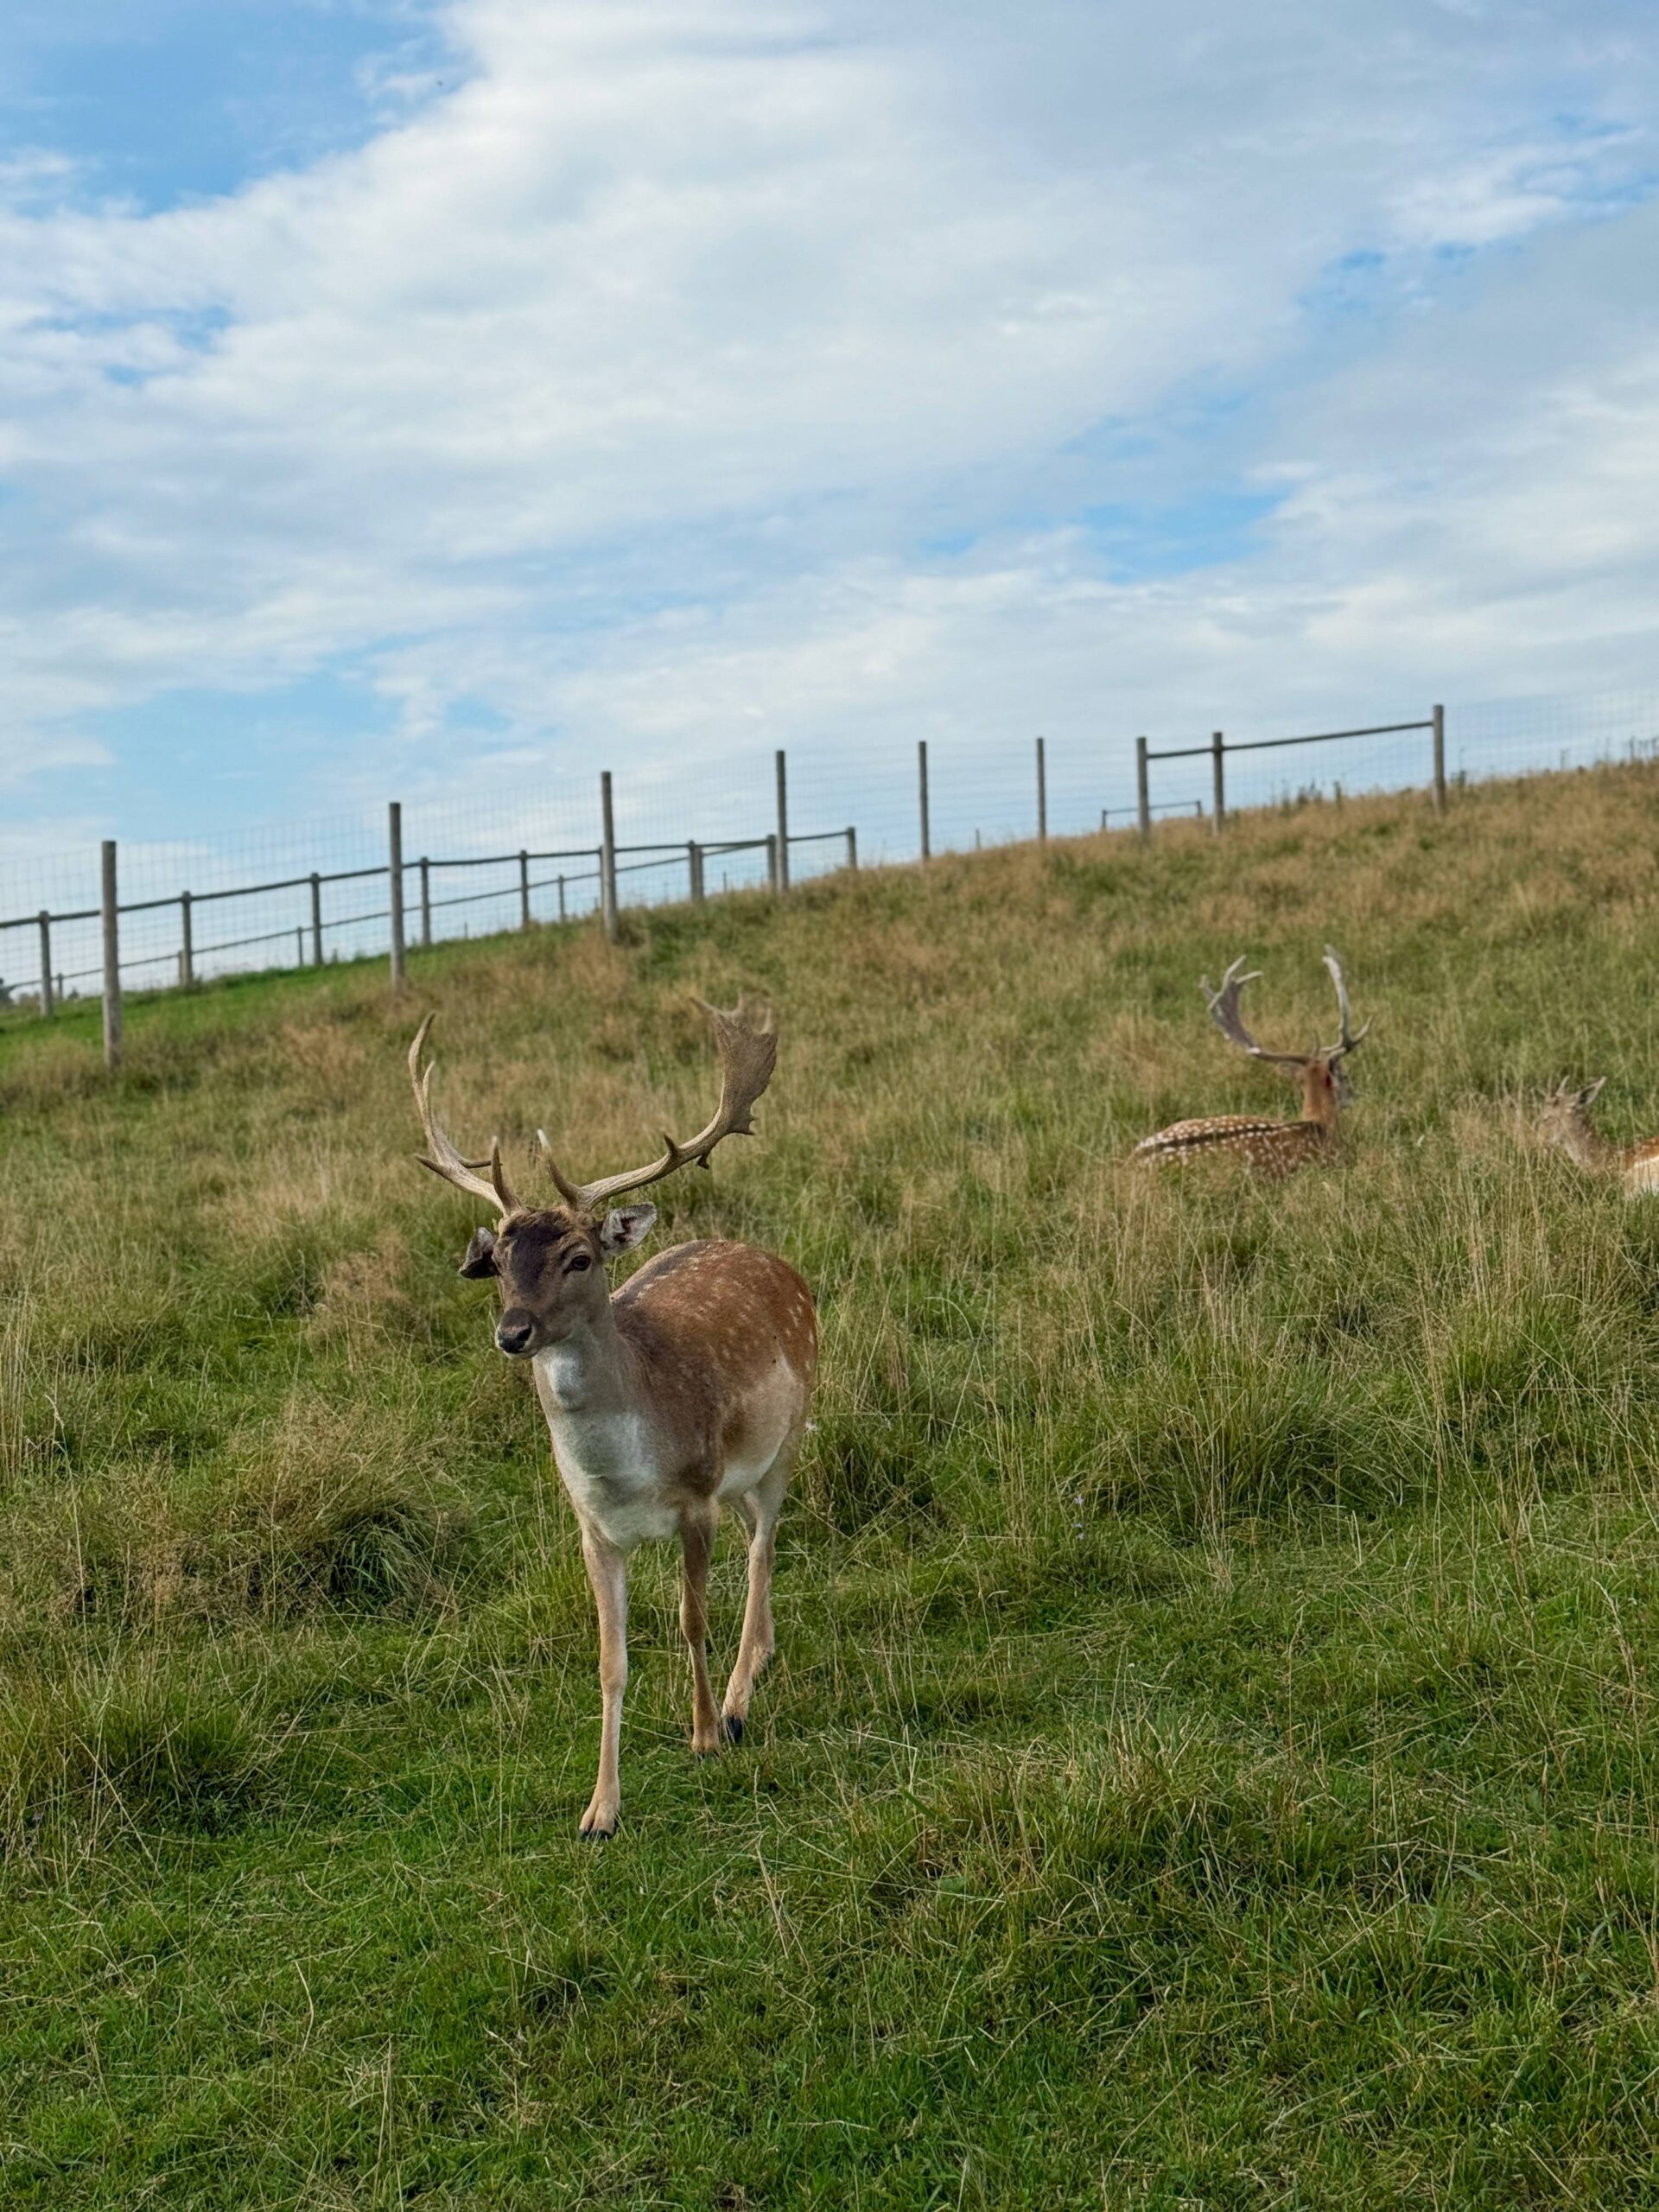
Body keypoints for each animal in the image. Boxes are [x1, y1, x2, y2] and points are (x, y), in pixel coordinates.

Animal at [408, 998, 816, 1839]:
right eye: (497, 1262)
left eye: (579, 1258)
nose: (513, 1333)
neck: (626, 1474)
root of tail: (777, 1262)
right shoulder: (591, 1528)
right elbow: (610, 1659)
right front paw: (600, 1809)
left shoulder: (695, 1499)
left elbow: (693, 1619)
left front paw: (704, 1734)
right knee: (757, 1544)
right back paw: (755, 1665)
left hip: (785, 1441)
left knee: (765, 1544)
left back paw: (740, 1697)